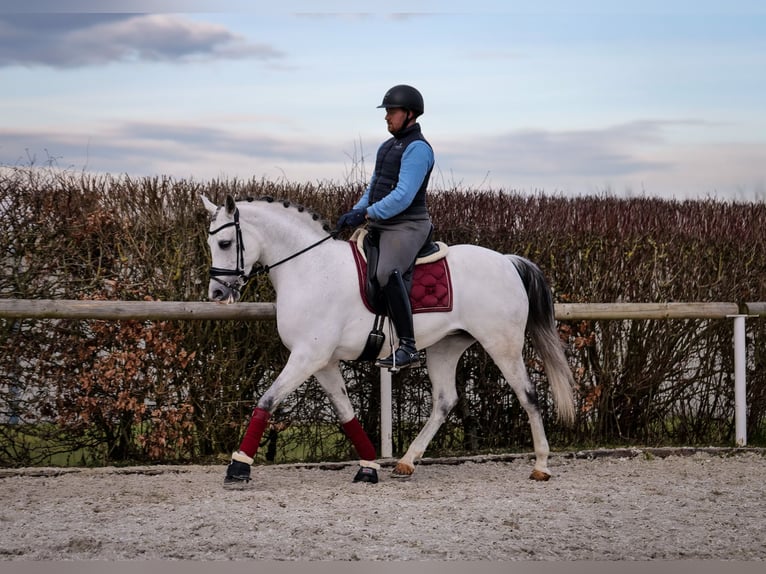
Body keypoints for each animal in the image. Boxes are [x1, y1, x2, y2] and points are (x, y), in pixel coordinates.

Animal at [201, 195, 572, 486]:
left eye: (225, 243)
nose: (217, 293)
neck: (311, 267)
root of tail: (507, 262)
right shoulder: (322, 361)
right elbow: (346, 412)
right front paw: (368, 467)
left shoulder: (308, 356)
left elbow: (266, 400)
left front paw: (238, 467)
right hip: (446, 347)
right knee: (445, 401)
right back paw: (406, 462)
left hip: (502, 344)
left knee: (528, 394)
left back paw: (541, 465)